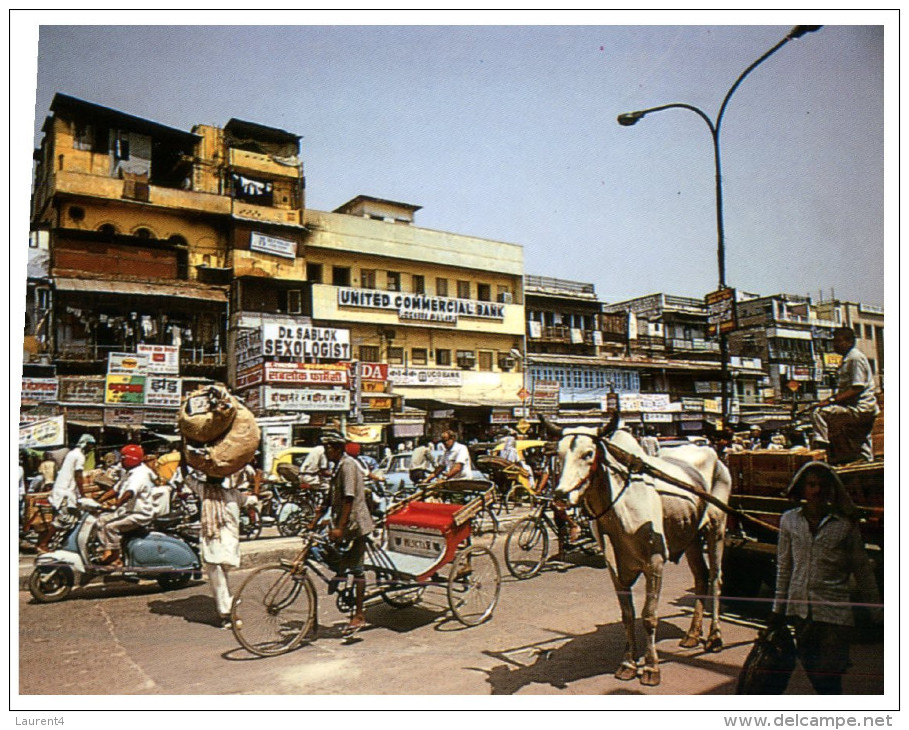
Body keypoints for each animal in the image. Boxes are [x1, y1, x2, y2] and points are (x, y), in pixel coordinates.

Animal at [548, 412, 732, 684]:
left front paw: (651, 667)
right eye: (558, 454)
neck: (617, 505)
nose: (561, 496)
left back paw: (714, 637)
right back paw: (692, 635)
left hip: (717, 528)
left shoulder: (655, 562)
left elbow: (648, 615)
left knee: (716, 579)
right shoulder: (614, 567)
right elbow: (627, 615)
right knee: (701, 577)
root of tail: (713, 453)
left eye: (588, 453)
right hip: (690, 536)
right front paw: (628, 663)